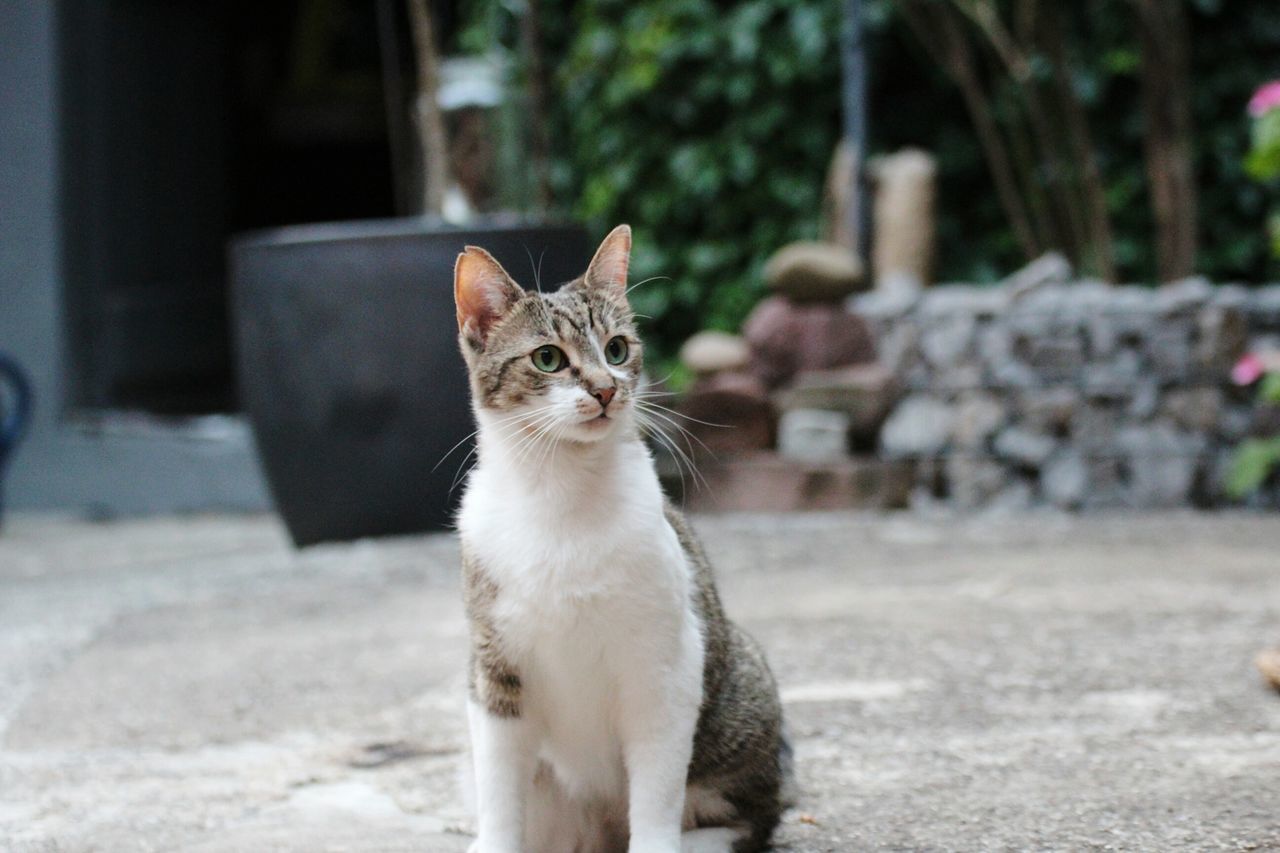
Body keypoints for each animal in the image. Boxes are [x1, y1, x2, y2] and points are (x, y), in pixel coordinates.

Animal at [450, 222, 788, 845]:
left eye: (617, 349)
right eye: (548, 358)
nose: (606, 388)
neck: (562, 496)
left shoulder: (665, 664)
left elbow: (657, 785)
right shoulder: (494, 669)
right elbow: (499, 787)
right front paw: (496, 839)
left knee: (746, 817)